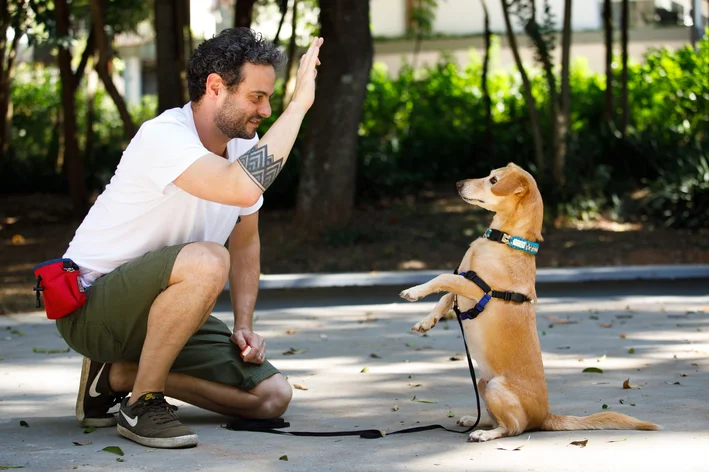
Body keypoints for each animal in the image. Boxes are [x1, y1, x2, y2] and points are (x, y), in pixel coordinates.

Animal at [398, 163, 660, 442]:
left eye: (493, 180)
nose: (458, 183)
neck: (504, 239)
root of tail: (545, 416)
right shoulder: (464, 282)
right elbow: (445, 296)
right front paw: (426, 322)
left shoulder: (475, 288)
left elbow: (443, 278)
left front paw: (413, 291)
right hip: (482, 383)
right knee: (496, 418)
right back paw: (473, 420)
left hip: (496, 387)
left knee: (513, 427)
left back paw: (484, 434)